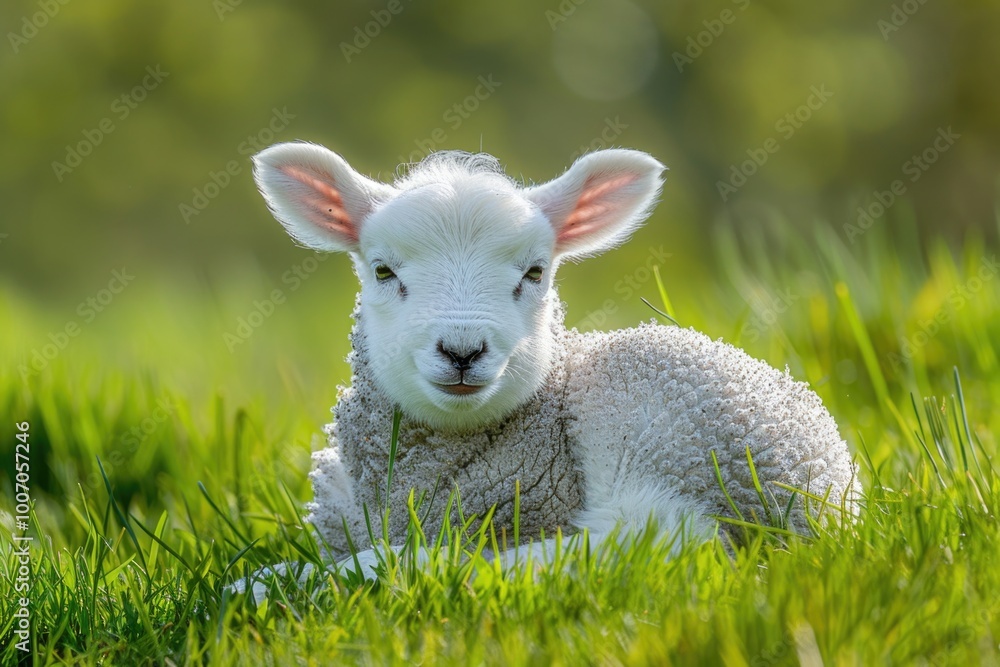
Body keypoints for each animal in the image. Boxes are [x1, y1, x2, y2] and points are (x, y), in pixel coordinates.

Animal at [251, 141, 859, 580]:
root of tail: (832, 494)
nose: (463, 350)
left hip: (663, 422)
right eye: (382, 270)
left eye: (535, 272)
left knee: (659, 540)